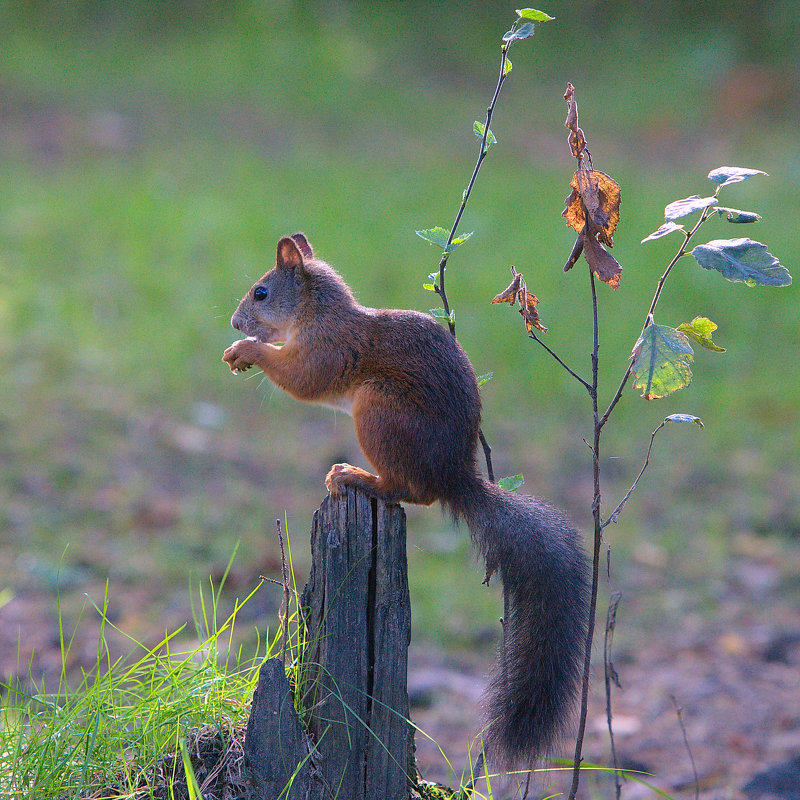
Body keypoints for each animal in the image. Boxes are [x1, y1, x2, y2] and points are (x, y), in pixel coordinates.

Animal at [222, 233, 592, 768]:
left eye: (261, 293)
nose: (235, 323)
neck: (317, 313)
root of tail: (454, 476)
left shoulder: (330, 350)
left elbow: (304, 379)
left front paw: (247, 349)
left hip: (380, 412)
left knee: (414, 492)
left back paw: (357, 476)